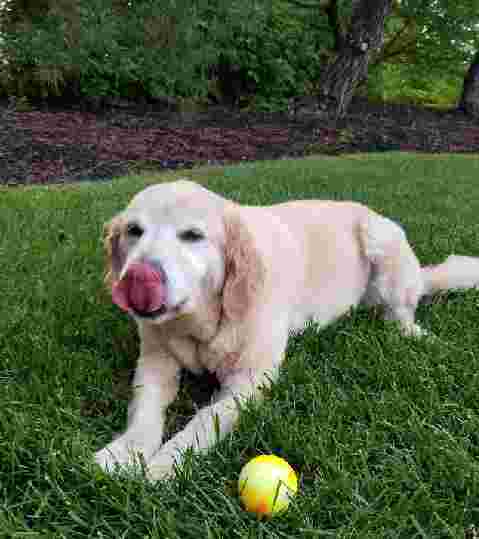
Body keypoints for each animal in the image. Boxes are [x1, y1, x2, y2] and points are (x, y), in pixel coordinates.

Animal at [95, 179, 479, 480]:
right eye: (134, 231)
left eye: (192, 236)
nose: (138, 276)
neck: (203, 323)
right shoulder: (154, 362)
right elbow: (144, 409)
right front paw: (124, 451)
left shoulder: (250, 380)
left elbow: (205, 420)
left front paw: (168, 462)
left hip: (382, 242)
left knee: (401, 312)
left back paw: (413, 334)